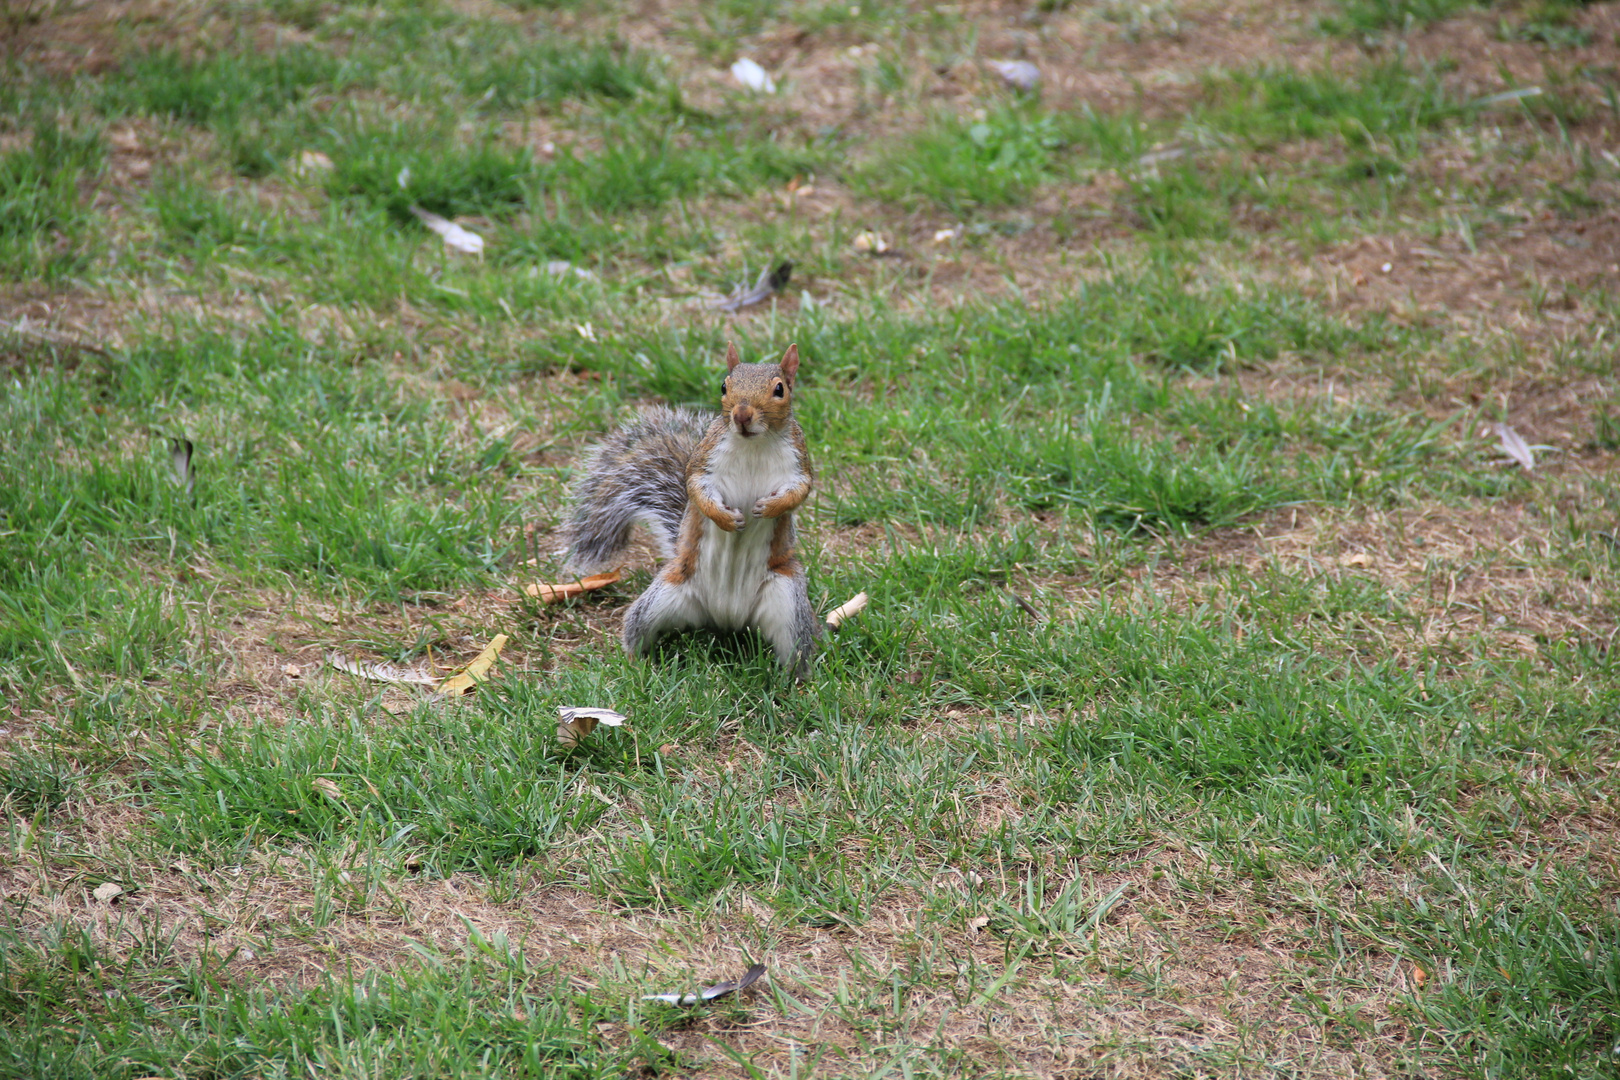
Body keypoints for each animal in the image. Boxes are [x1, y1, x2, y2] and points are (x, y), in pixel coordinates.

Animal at [567, 341, 822, 680]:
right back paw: (636, 665)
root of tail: (726, 617)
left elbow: (798, 492)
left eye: (779, 389)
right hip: (664, 595)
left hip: (789, 602)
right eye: (724, 386)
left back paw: (795, 682)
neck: (753, 444)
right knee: (637, 630)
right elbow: (698, 491)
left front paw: (769, 507)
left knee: (796, 651)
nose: (742, 415)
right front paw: (726, 518)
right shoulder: (704, 463)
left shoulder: (799, 464)